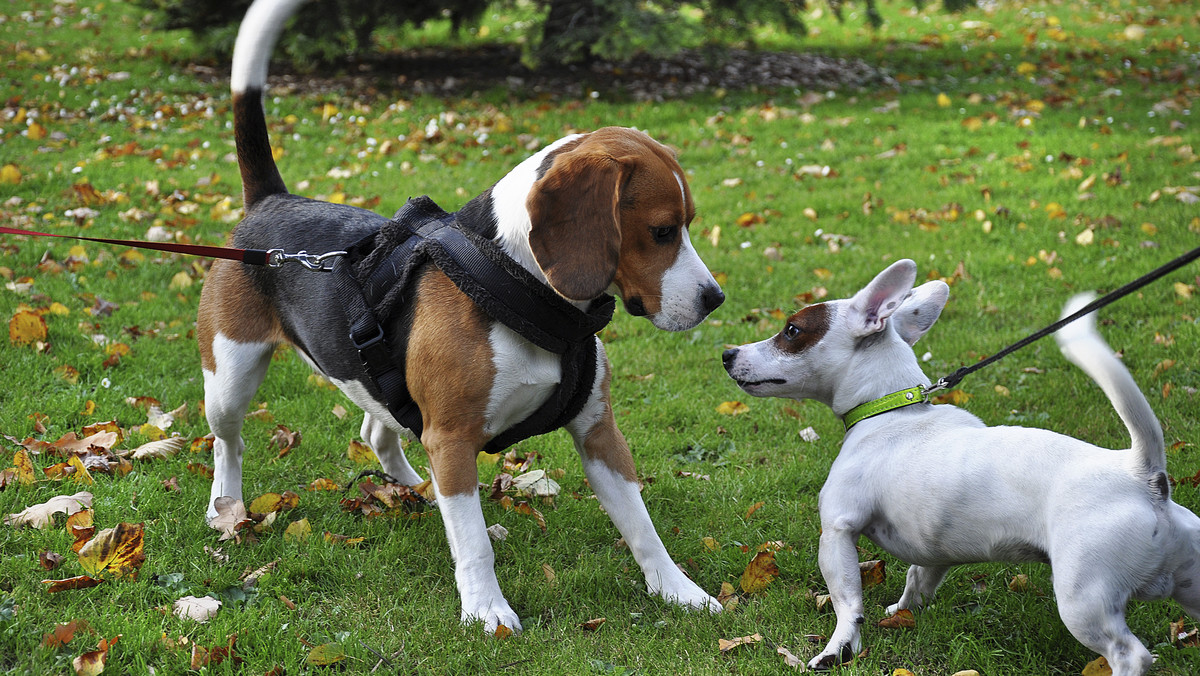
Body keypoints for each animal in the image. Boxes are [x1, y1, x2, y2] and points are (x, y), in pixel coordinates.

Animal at [199, 0, 720, 633]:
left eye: (687, 224)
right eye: (662, 231)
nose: (715, 299)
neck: (520, 286)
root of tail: (272, 201)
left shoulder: (599, 431)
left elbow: (642, 527)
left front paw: (678, 590)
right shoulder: (451, 439)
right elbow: (474, 544)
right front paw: (487, 609)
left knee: (379, 431)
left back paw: (414, 491)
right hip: (229, 378)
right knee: (227, 443)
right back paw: (226, 507)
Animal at [720, 258, 1200, 672]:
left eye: (792, 330)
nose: (727, 353)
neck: (889, 409)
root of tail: (1142, 474)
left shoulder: (837, 531)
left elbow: (847, 603)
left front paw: (837, 650)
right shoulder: (933, 551)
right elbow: (917, 581)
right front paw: (900, 612)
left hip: (1084, 600)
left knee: (1129, 653)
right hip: (1186, 583)